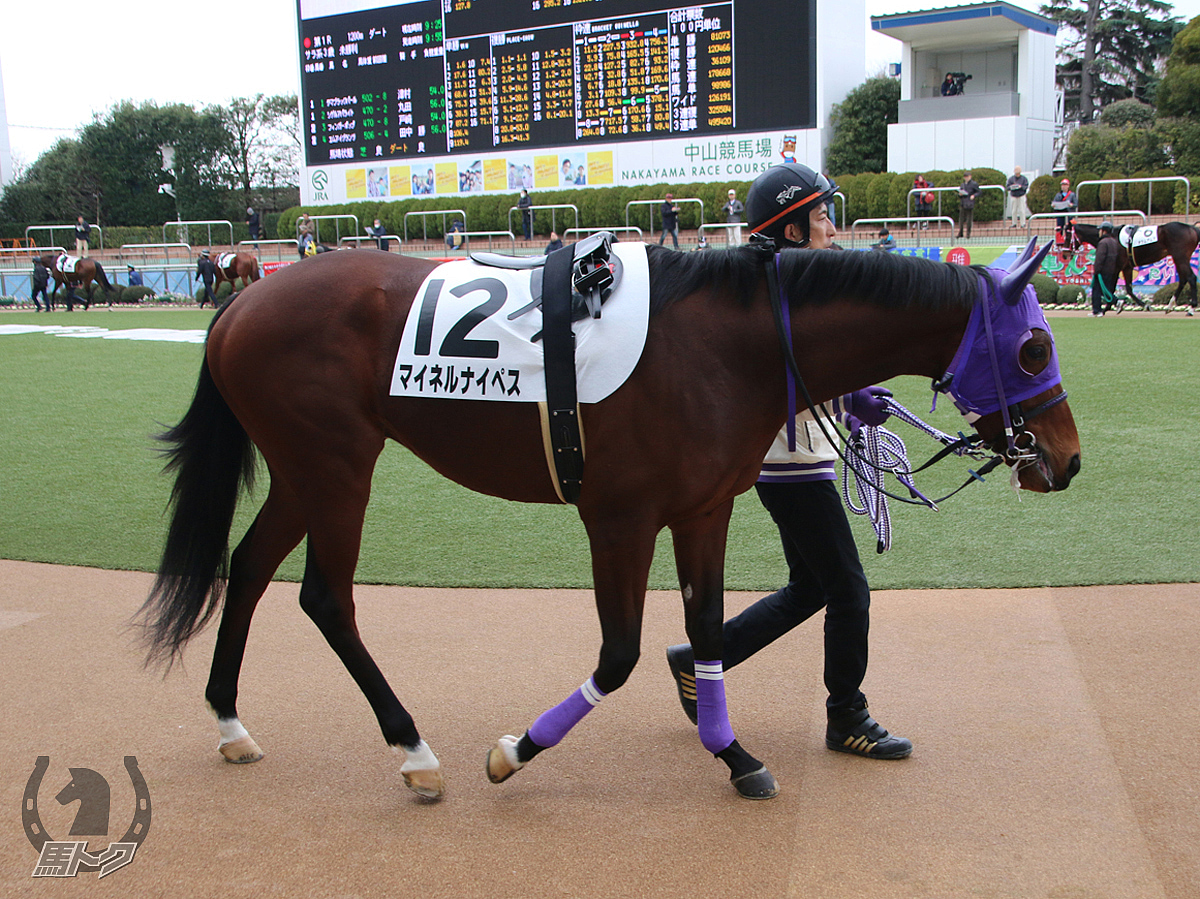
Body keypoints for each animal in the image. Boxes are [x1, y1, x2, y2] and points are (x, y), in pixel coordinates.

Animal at [136, 236, 1084, 801]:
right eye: (1034, 347)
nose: (1069, 458)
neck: (725, 342)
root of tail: (240, 303)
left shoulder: (703, 508)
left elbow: (706, 629)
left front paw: (732, 752)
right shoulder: (619, 518)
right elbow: (620, 653)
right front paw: (517, 748)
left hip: (306, 471)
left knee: (249, 568)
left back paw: (230, 722)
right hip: (336, 468)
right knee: (326, 598)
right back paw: (413, 749)